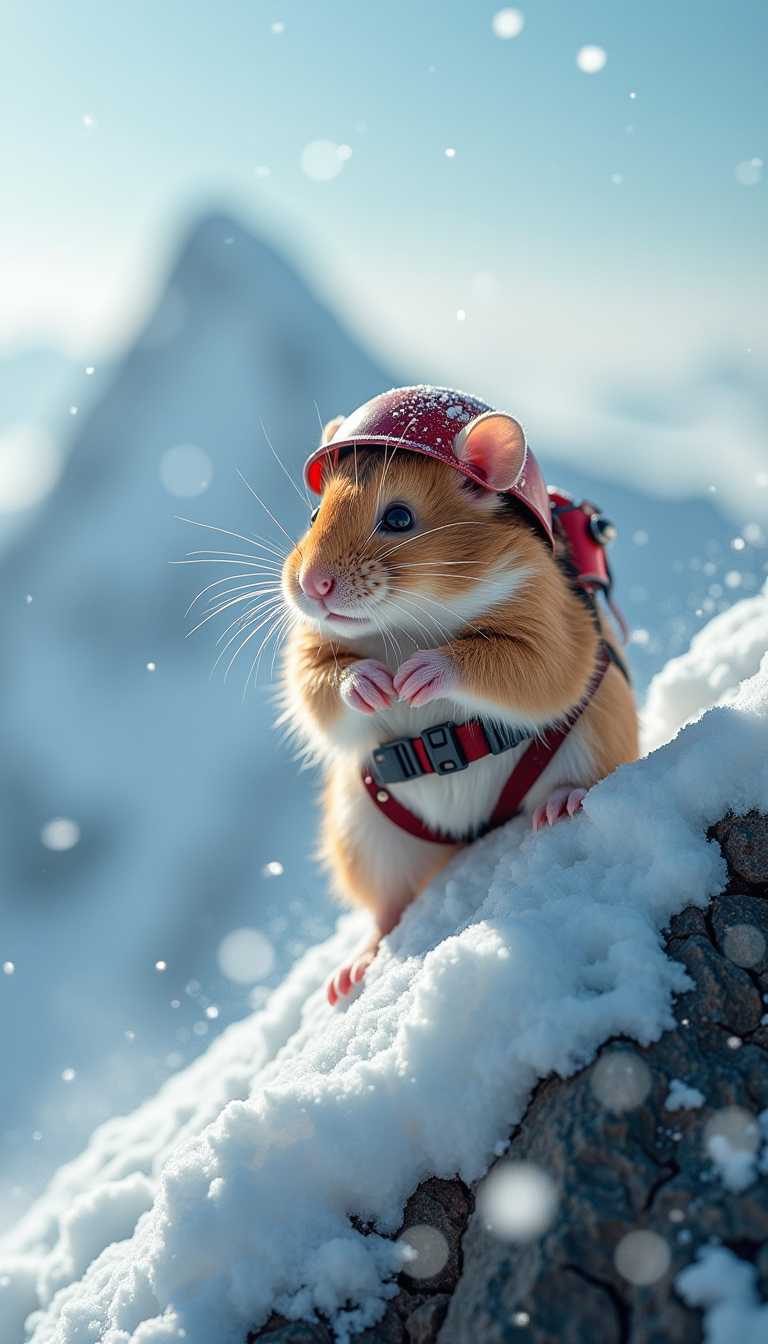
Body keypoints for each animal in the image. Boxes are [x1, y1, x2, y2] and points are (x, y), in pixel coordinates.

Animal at [281, 410, 639, 1006]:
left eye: (399, 516)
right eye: (313, 514)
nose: (312, 585)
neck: (409, 617)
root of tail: (469, 834)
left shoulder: (551, 626)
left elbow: (525, 666)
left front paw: (420, 674)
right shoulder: (310, 650)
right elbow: (318, 687)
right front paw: (373, 683)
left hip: (591, 746)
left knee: (583, 780)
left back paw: (561, 804)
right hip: (369, 840)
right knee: (387, 909)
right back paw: (352, 971)